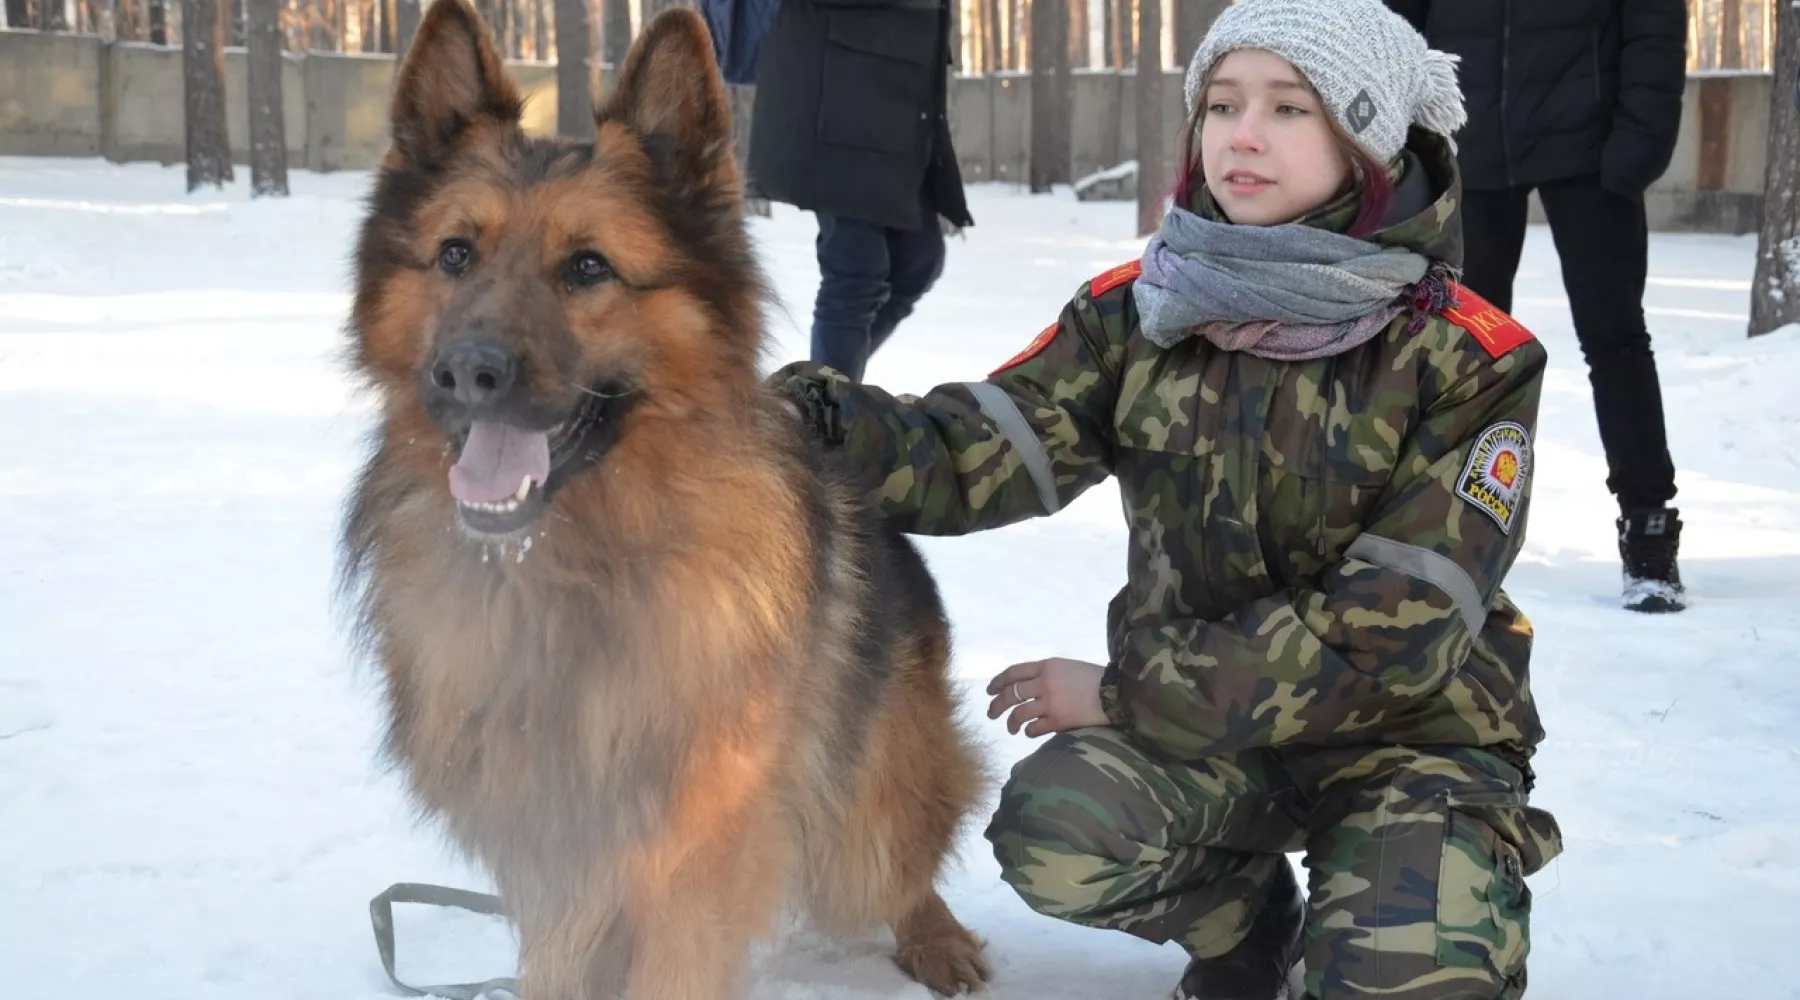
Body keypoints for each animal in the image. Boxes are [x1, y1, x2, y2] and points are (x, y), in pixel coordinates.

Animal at [333, 3, 993, 992]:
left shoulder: (693, 864)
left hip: (866, 813)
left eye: (588, 268)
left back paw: (936, 936)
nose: (466, 372)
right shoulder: (553, 869)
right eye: (455, 253)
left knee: (899, 856)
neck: (572, 574)